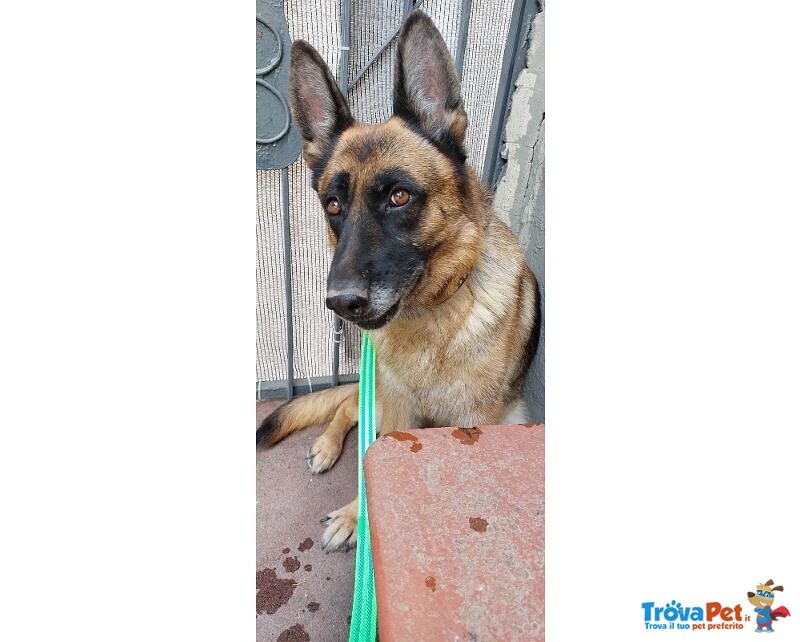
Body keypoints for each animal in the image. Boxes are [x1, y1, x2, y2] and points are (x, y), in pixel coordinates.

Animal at [260, 10, 540, 552]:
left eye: (399, 197)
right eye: (333, 205)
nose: (340, 303)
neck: (431, 316)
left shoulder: (472, 424)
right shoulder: (394, 410)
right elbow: (371, 467)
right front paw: (356, 515)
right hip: (377, 397)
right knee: (348, 408)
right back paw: (327, 450)